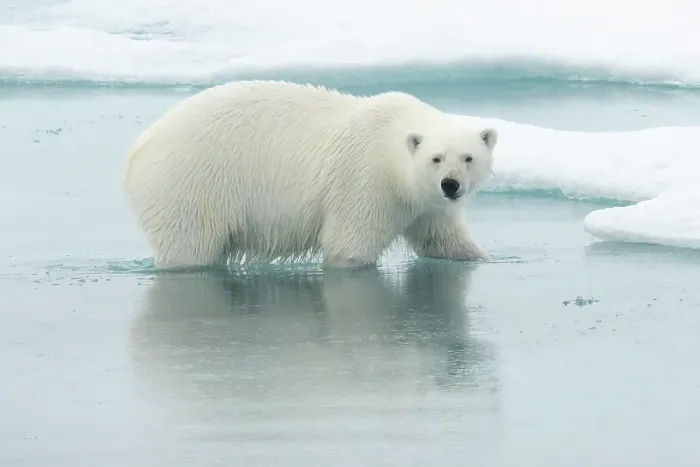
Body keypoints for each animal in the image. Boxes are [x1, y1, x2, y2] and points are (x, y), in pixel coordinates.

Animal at [123, 80, 498, 270]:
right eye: (436, 158)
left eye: (468, 157)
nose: (451, 185)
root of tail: (137, 149)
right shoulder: (365, 181)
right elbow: (348, 244)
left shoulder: (427, 205)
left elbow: (442, 239)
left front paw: (481, 256)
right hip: (189, 185)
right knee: (190, 246)